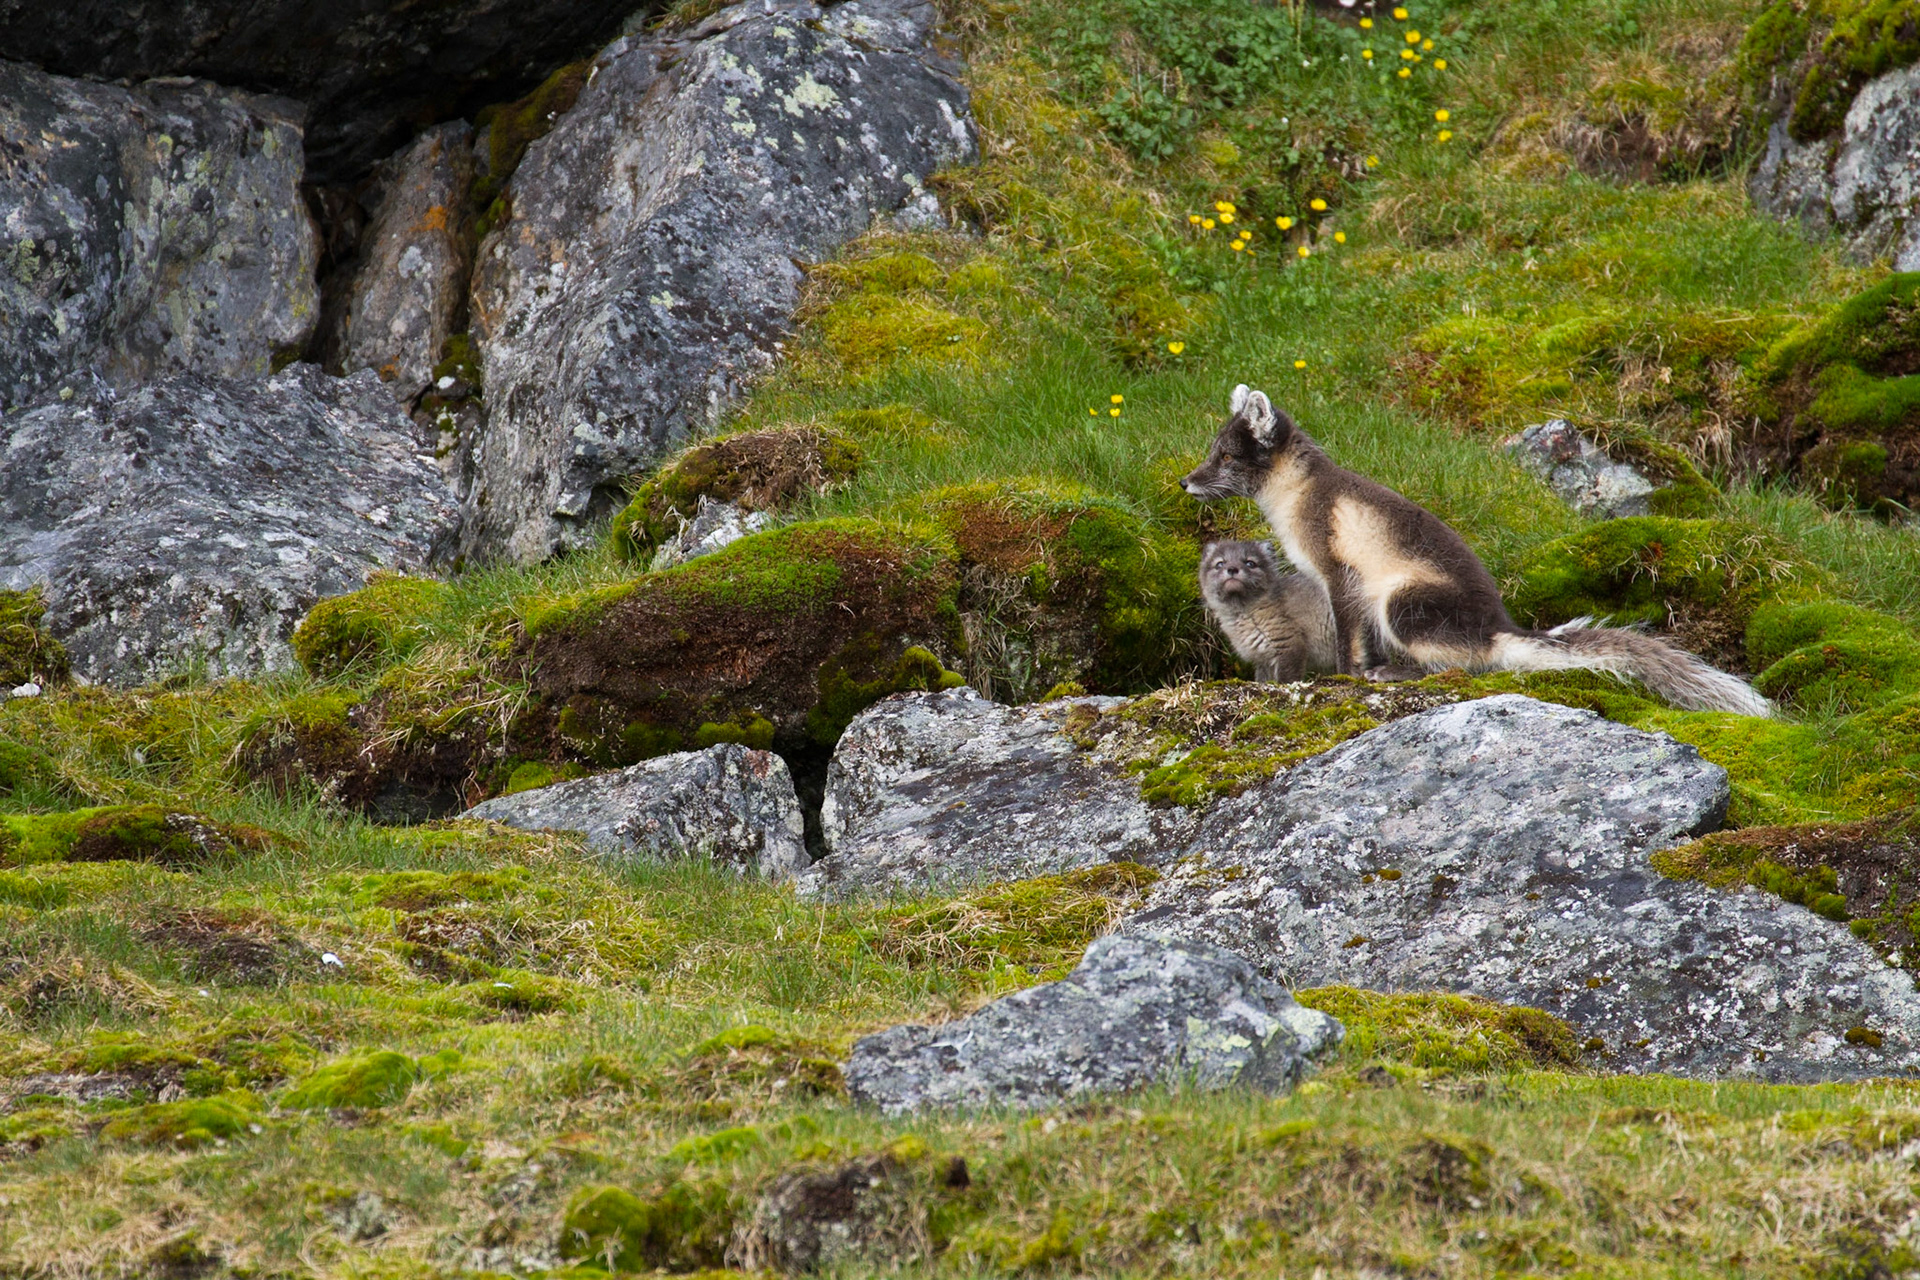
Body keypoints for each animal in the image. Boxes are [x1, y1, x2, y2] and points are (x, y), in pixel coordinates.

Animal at [1199, 540, 1338, 682]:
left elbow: (1286, 679)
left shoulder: (1289, 645)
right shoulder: (1264, 660)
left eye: (1250, 563)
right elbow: (1263, 680)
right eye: (1220, 564)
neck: (1244, 614)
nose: (1232, 569)